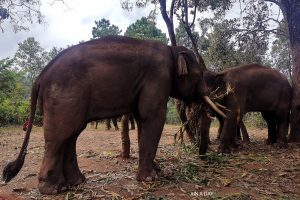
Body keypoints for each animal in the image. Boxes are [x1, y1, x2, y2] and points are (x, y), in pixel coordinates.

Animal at [2, 35, 224, 194]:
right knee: (60, 136)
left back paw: (76, 183)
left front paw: (156, 170)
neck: (171, 49)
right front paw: (150, 179)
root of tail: (40, 76)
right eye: (199, 74)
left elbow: (143, 119)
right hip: (64, 97)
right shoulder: (158, 76)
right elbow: (152, 115)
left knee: (71, 134)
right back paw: (54, 189)